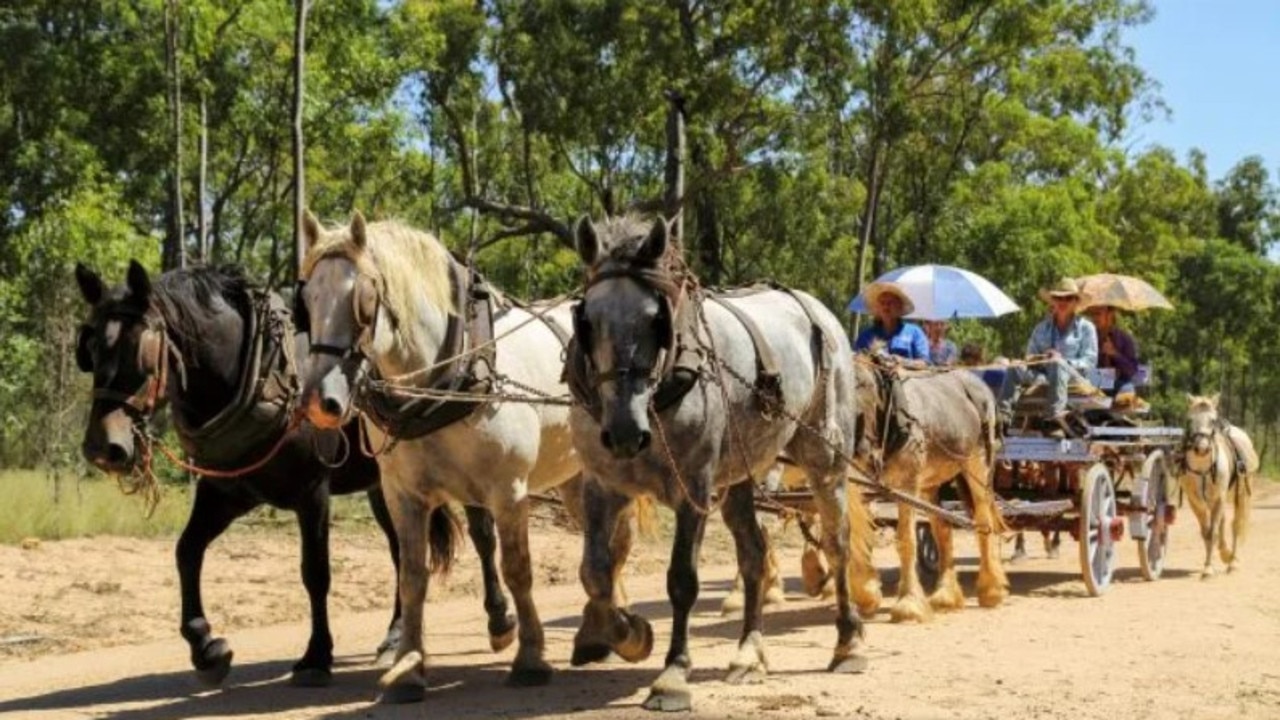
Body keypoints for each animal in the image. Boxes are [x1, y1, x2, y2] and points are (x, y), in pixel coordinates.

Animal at [73, 260, 514, 686]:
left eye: (139, 346)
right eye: (90, 348)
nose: (102, 448)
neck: (261, 376)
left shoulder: (312, 492)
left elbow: (315, 572)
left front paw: (316, 657)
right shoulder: (226, 493)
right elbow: (187, 551)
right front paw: (206, 646)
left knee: (482, 536)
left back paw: (499, 618)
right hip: (384, 487)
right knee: (401, 552)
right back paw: (395, 637)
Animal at [570, 212, 870, 707]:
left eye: (655, 319)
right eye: (588, 320)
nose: (625, 434)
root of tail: (819, 311)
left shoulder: (693, 486)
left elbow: (682, 580)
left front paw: (673, 673)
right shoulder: (601, 485)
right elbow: (595, 572)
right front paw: (626, 635)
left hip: (825, 459)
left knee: (837, 543)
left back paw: (849, 643)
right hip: (741, 476)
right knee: (754, 554)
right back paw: (749, 653)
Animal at [1172, 392, 1254, 576]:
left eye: (1212, 420)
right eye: (1190, 420)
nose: (1201, 449)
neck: (1202, 467)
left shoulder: (1219, 498)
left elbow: (1214, 531)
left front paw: (1208, 569)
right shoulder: (1195, 501)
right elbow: (1207, 533)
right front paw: (1210, 564)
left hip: (1238, 494)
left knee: (1235, 524)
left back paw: (1232, 562)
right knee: (1222, 522)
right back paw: (1225, 554)